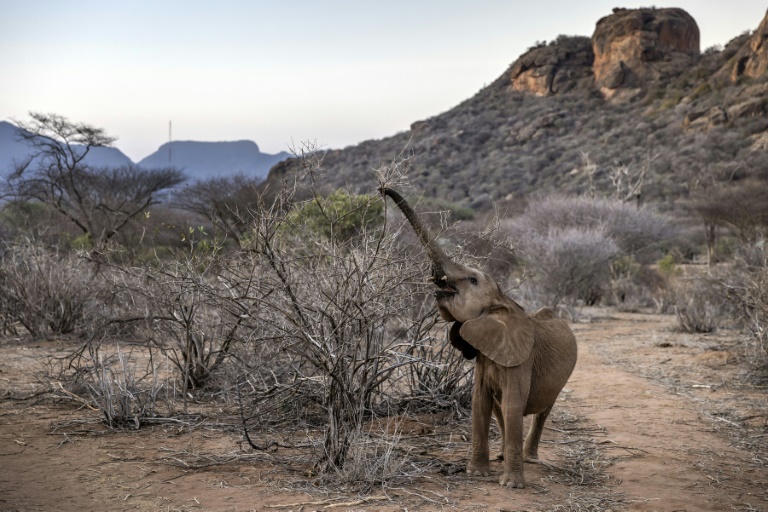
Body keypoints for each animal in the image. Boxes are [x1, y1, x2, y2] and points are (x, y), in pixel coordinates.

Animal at [384, 188, 576, 488]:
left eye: (473, 281)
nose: (382, 189)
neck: (502, 301)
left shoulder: (520, 359)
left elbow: (512, 405)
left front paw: (511, 485)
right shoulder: (485, 357)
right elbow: (480, 404)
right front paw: (476, 474)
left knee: (543, 410)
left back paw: (530, 459)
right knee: (500, 409)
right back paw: (503, 456)